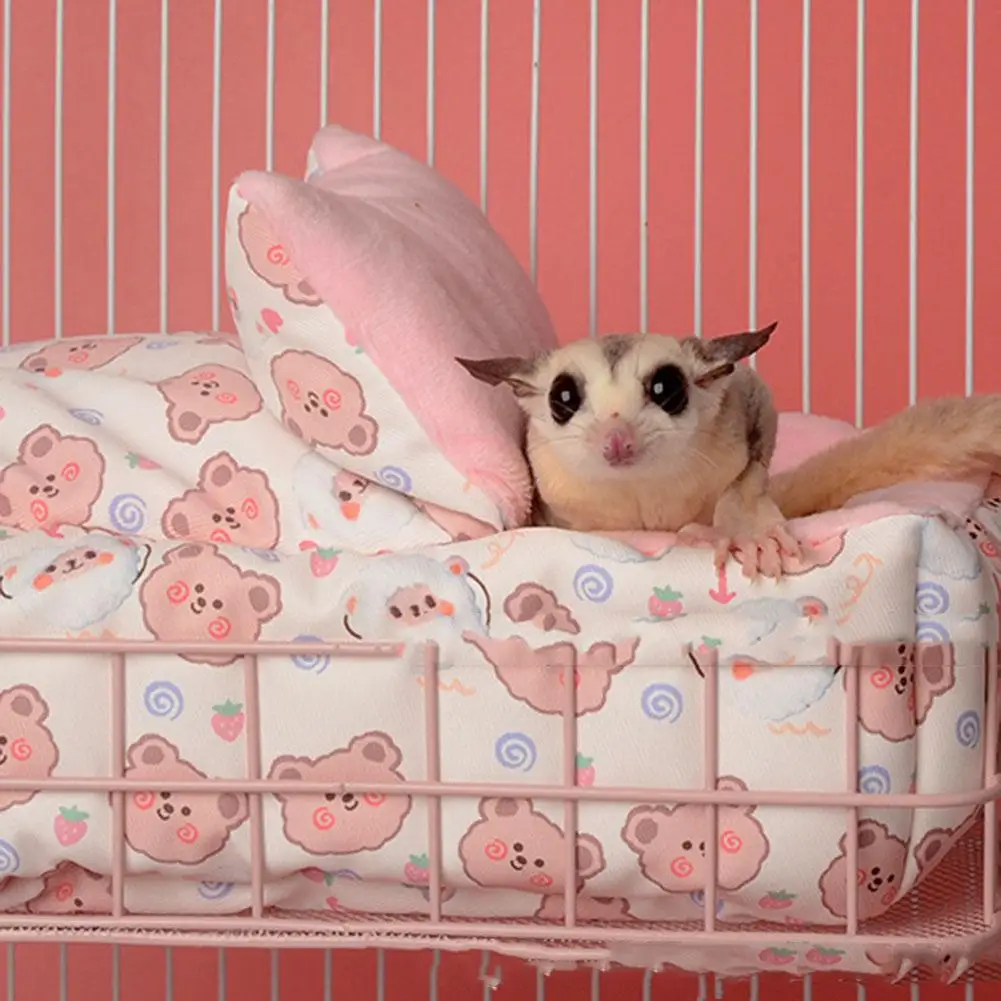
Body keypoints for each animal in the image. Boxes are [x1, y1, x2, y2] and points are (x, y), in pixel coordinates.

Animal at [457, 322, 1001, 579]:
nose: (616, 441)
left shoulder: (750, 406)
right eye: (564, 398)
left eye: (666, 389)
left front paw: (746, 534)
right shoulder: (554, 497)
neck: (639, 491)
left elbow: (750, 473)